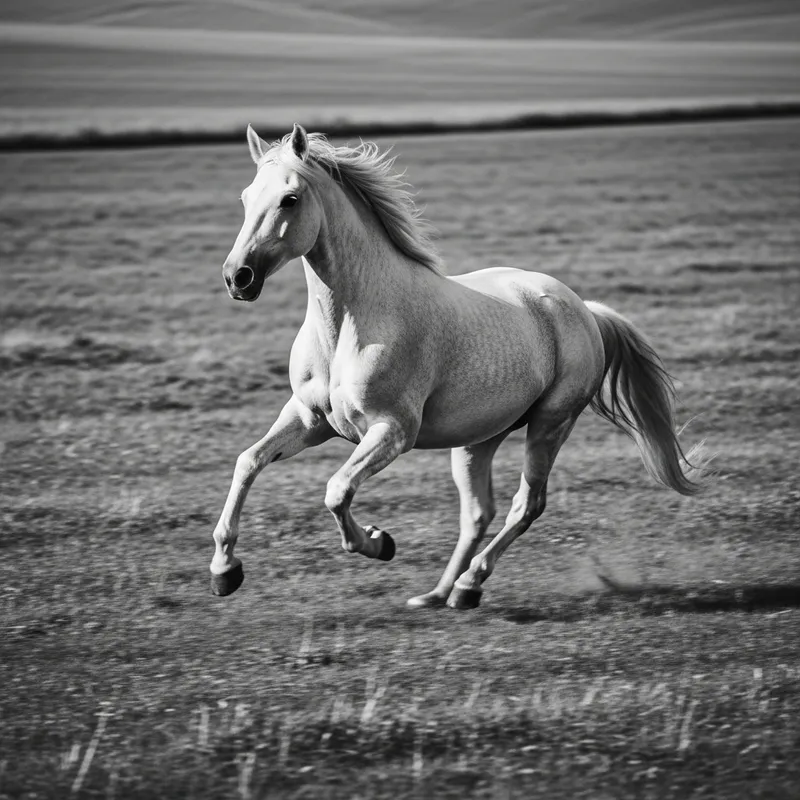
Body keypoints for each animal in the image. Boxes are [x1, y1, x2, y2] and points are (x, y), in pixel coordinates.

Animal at [209, 123, 701, 609]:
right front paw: (224, 571)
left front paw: (379, 542)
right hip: (478, 439)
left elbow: (337, 490)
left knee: (527, 504)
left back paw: (469, 585)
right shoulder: (310, 419)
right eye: (246, 197)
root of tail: (584, 309)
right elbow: (248, 461)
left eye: (290, 198)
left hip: (550, 423)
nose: (238, 277)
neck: (350, 326)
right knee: (479, 512)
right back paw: (437, 594)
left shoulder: (393, 431)